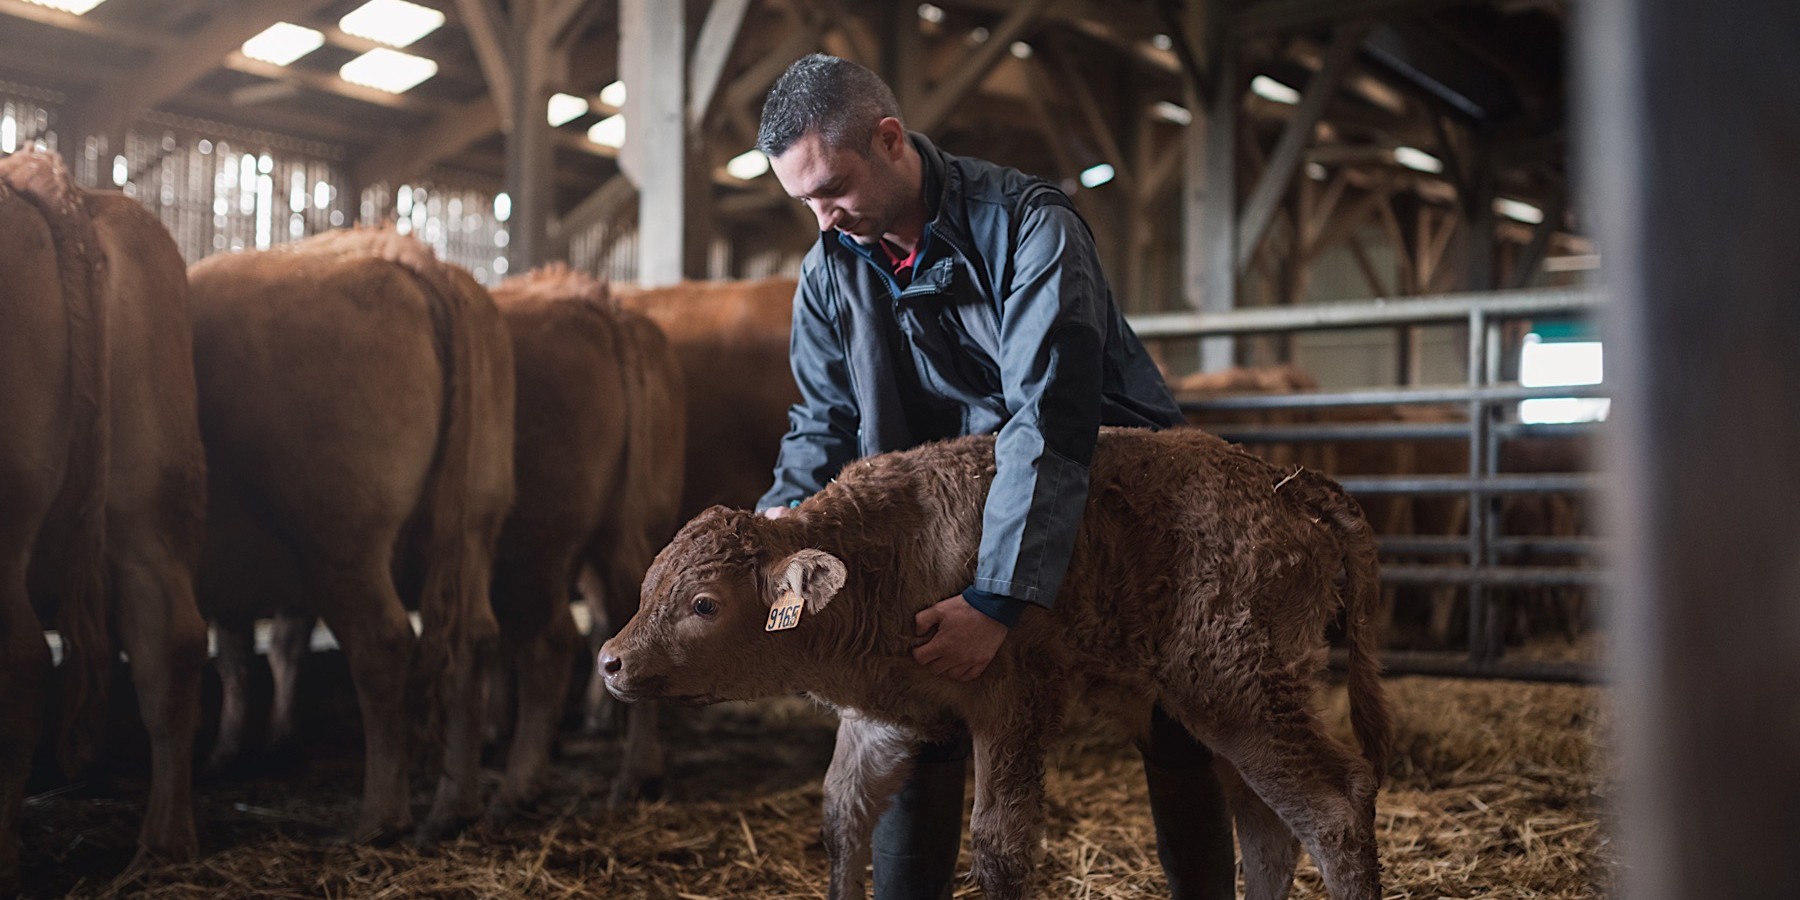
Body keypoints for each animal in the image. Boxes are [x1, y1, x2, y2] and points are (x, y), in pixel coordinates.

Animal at [190, 226, 514, 842]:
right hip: (475, 528)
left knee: (381, 644)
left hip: (340, 538)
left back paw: (378, 819)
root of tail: (408, 254)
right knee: (475, 640)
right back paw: (452, 810)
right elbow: (249, 652)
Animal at [486, 262, 680, 813]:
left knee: (548, 640)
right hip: (622, 532)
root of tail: (599, 301)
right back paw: (639, 772)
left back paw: (518, 785)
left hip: (532, 546)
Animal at [604, 428, 1389, 900]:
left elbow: (1000, 844)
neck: (894, 554)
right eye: (647, 587)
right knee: (1266, 825)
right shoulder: (883, 716)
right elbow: (843, 816)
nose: (611, 660)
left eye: (704, 604)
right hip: (1233, 708)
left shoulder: (1016, 703)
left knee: (1333, 807)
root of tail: (1285, 481)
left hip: (1238, 689)